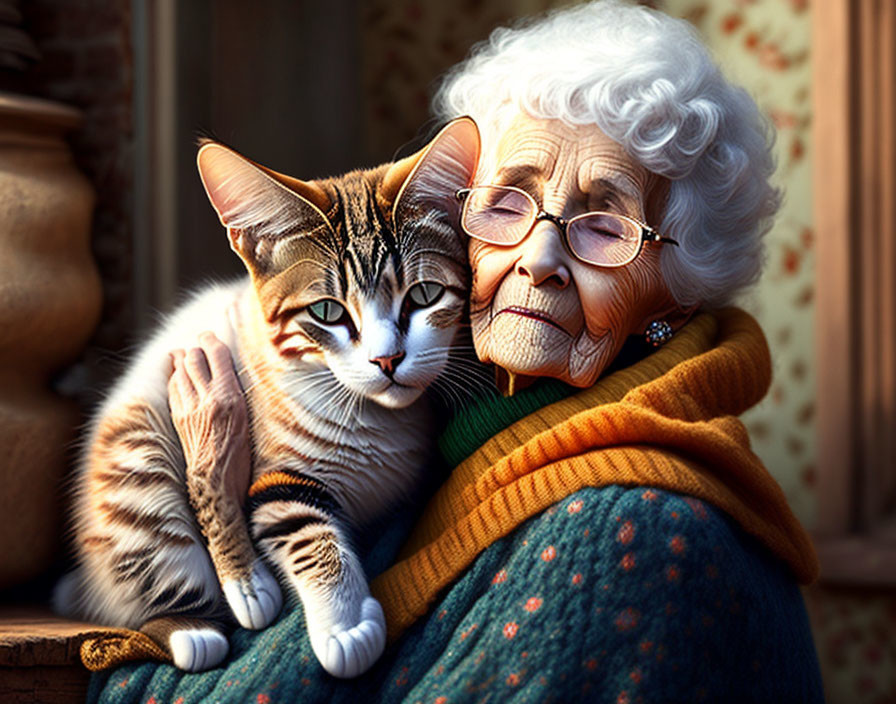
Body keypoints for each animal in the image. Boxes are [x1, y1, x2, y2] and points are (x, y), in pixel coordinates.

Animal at [56, 118, 484, 680]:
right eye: (327, 312)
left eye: (424, 296)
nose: (388, 360)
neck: (373, 420)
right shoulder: (277, 477)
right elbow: (308, 533)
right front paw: (345, 626)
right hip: (138, 465)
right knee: (151, 581)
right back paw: (212, 615)